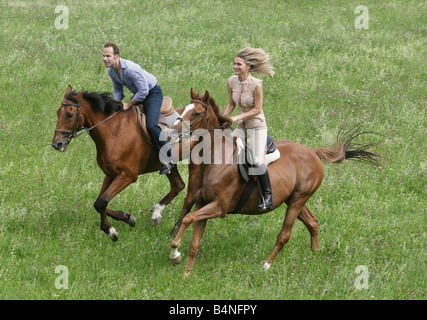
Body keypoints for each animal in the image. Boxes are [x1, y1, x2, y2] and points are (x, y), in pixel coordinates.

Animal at [51, 85, 189, 240]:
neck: (114, 130)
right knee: (178, 186)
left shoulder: (127, 176)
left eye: (69, 115)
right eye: (58, 112)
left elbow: (102, 201)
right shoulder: (110, 174)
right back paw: (158, 217)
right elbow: (98, 203)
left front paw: (111, 231)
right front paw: (127, 218)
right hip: (170, 167)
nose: (57, 144)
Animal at [167, 89, 382, 278]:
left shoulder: (220, 208)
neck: (217, 159)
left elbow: (187, 219)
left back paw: (267, 265)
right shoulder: (202, 204)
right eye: (182, 109)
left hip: (297, 200)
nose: (171, 132)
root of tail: (312, 152)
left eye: (196, 113)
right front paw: (186, 273)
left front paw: (175, 252)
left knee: (284, 235)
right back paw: (314, 254)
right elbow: (193, 239)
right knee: (312, 222)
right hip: (294, 200)